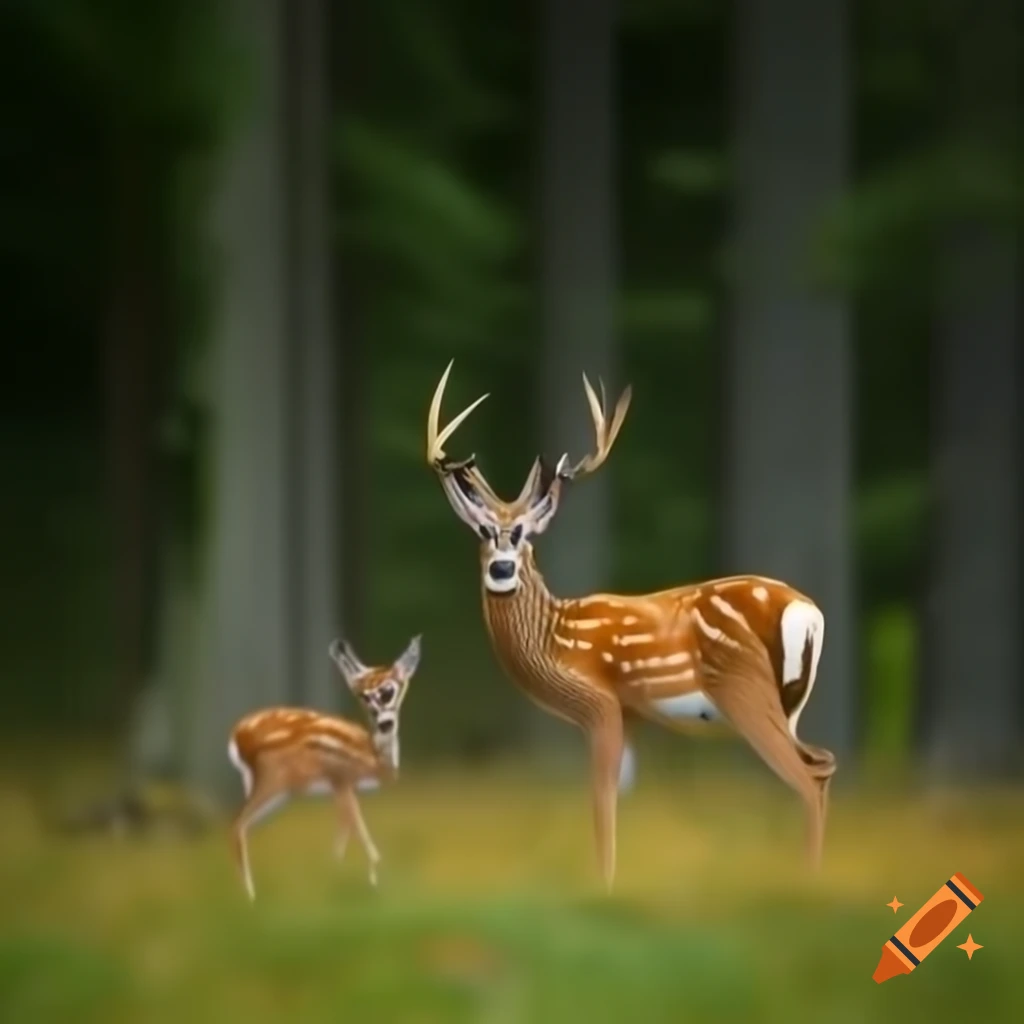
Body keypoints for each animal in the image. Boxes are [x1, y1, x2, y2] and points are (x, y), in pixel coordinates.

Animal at [226, 635, 421, 901]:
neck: (371, 758)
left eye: (389, 691)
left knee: (245, 826)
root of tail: (236, 738)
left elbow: (345, 828)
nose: (384, 723)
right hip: (272, 779)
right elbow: (354, 826)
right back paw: (250, 898)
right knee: (237, 824)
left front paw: (337, 876)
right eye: (362, 696)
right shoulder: (340, 777)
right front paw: (371, 880)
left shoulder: (341, 785)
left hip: (266, 786)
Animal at [425, 360, 836, 891]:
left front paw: (602, 888)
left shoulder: (600, 704)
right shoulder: (633, 712)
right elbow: (620, 798)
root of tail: (807, 612)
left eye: (523, 535)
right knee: (822, 765)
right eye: (482, 531)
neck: (555, 637)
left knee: (807, 777)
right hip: (788, 704)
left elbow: (600, 802)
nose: (501, 568)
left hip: (744, 686)